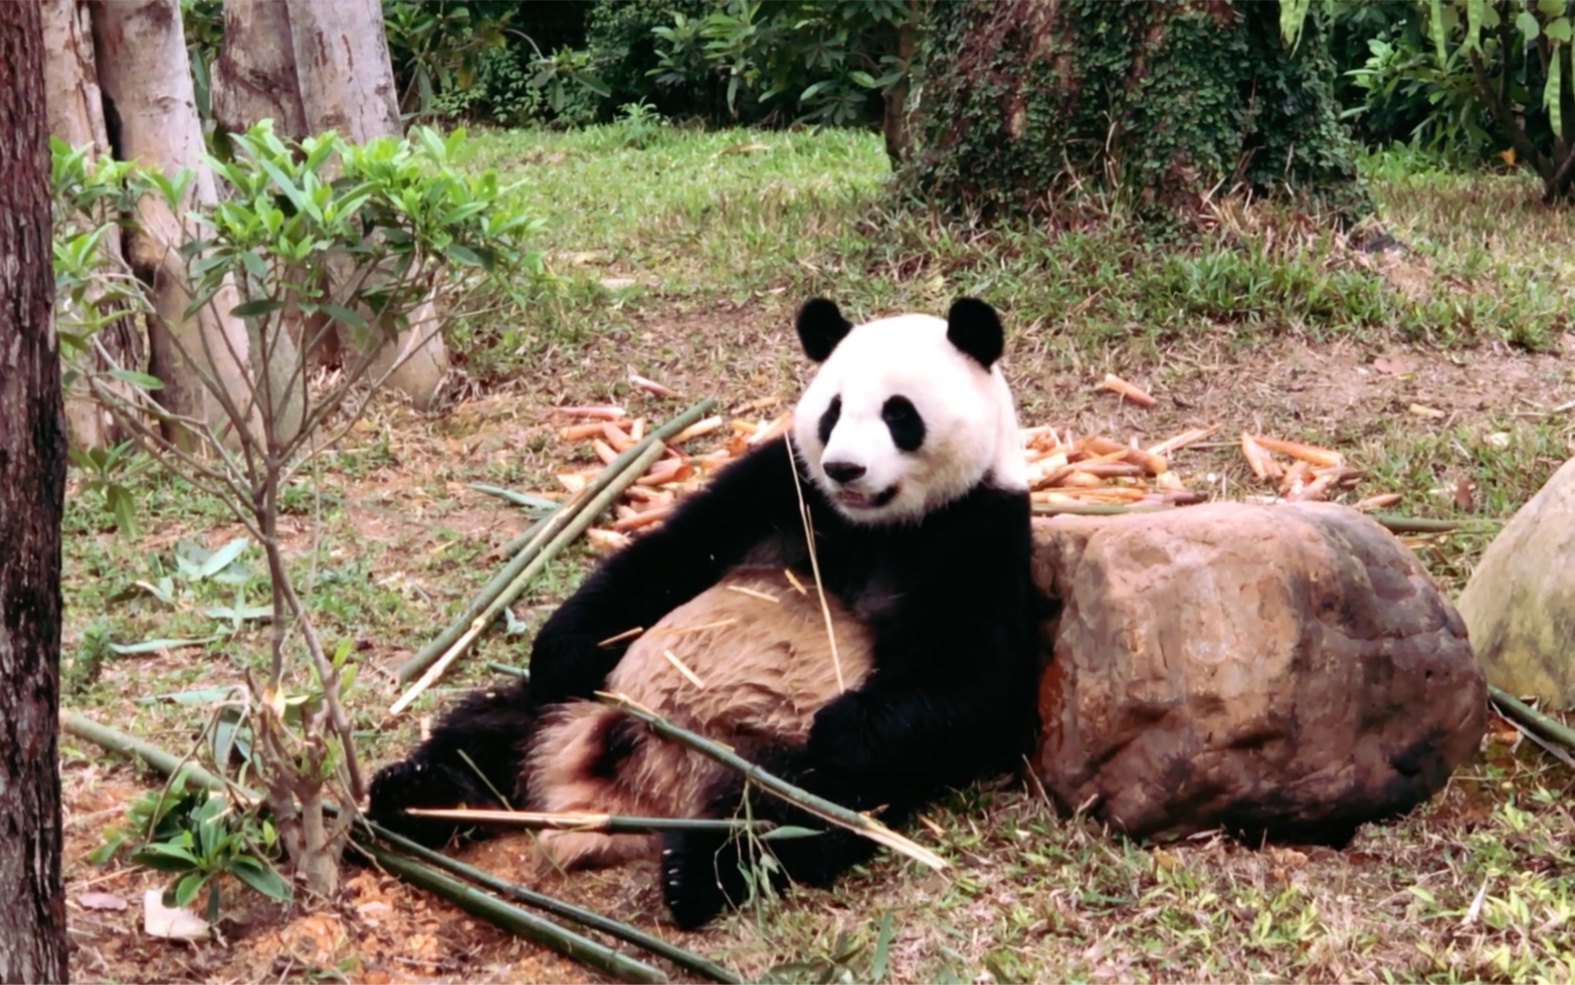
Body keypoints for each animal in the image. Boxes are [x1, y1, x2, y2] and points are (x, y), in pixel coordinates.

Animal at [368, 296, 1045, 926]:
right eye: (833, 411)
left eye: (899, 414)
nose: (844, 467)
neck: (872, 524)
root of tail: (640, 793)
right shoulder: (782, 482)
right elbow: (670, 554)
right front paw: (563, 647)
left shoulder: (979, 532)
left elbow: (970, 686)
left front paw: (843, 724)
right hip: (583, 705)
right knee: (487, 729)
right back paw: (414, 796)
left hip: (778, 762)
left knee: (801, 809)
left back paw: (691, 872)